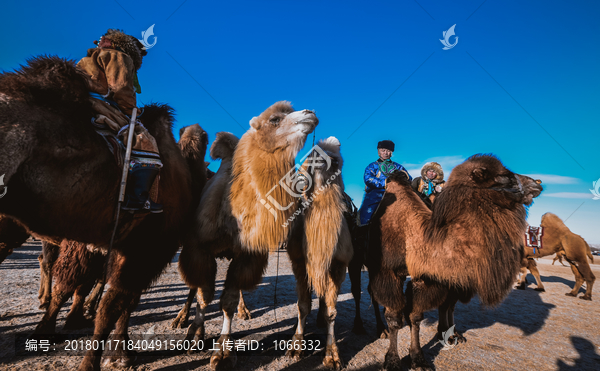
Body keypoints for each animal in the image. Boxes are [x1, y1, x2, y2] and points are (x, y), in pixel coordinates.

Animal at [180, 101, 350, 370]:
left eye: (334, 159)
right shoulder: (200, 248)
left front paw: (223, 353)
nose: (310, 113)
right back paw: (182, 319)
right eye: (274, 119)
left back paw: (244, 311)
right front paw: (196, 336)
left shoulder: (246, 254)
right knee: (194, 286)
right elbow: (204, 296)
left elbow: (227, 301)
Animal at [366, 155, 544, 370]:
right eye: (506, 176)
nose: (537, 184)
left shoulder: (427, 278)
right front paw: (392, 360)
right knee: (372, 295)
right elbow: (394, 319)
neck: (414, 235)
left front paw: (419, 357)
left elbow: (417, 316)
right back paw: (376, 329)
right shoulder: (387, 272)